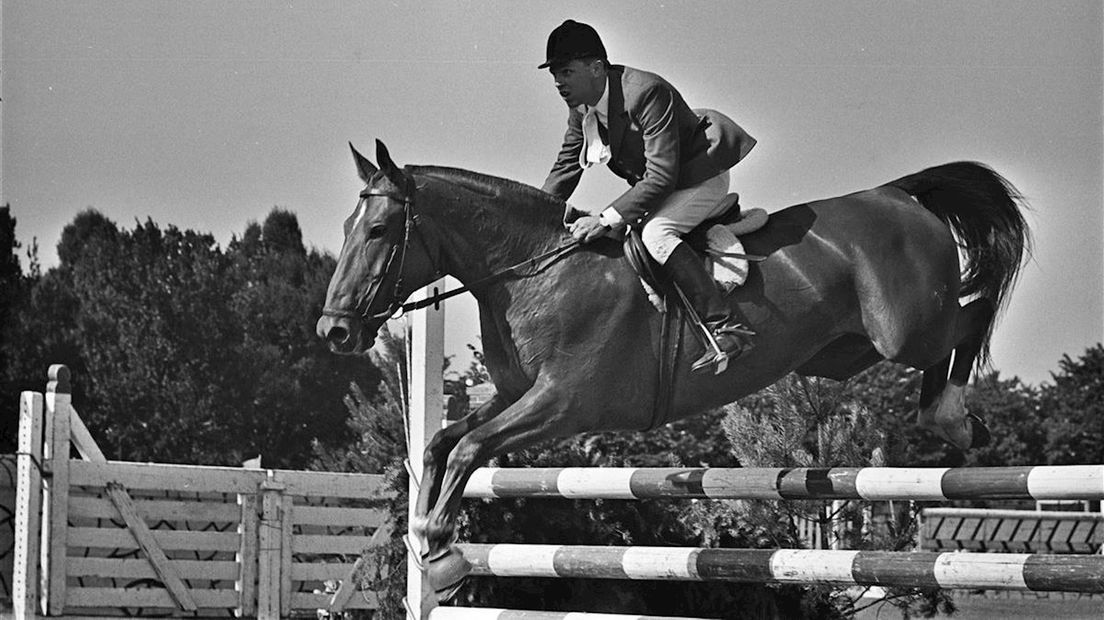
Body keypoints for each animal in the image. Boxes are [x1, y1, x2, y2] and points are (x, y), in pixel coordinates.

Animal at [315, 139, 1028, 595]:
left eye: (377, 230)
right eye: (348, 226)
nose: (334, 330)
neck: (532, 272)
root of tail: (897, 195)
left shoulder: (562, 403)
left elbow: (467, 450)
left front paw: (438, 551)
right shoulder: (516, 394)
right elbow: (440, 444)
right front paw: (423, 541)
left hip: (908, 330)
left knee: (971, 313)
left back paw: (953, 419)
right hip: (852, 349)